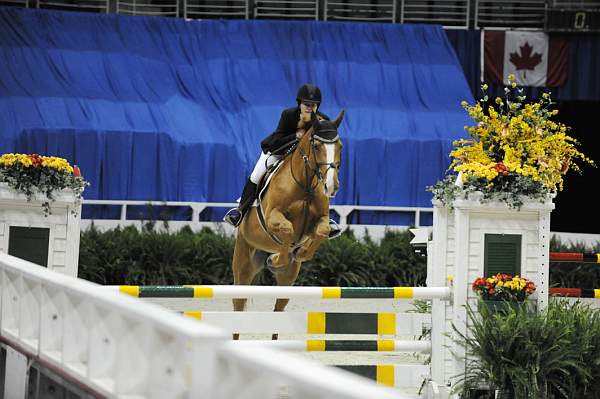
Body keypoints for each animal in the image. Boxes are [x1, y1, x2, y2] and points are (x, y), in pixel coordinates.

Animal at [232, 110, 344, 338]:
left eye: (340, 147)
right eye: (316, 146)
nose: (331, 186)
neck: (305, 185)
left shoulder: (319, 221)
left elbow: (322, 230)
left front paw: (300, 253)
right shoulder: (272, 218)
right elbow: (287, 228)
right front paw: (277, 258)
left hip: (288, 278)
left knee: (278, 308)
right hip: (243, 263)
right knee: (239, 303)